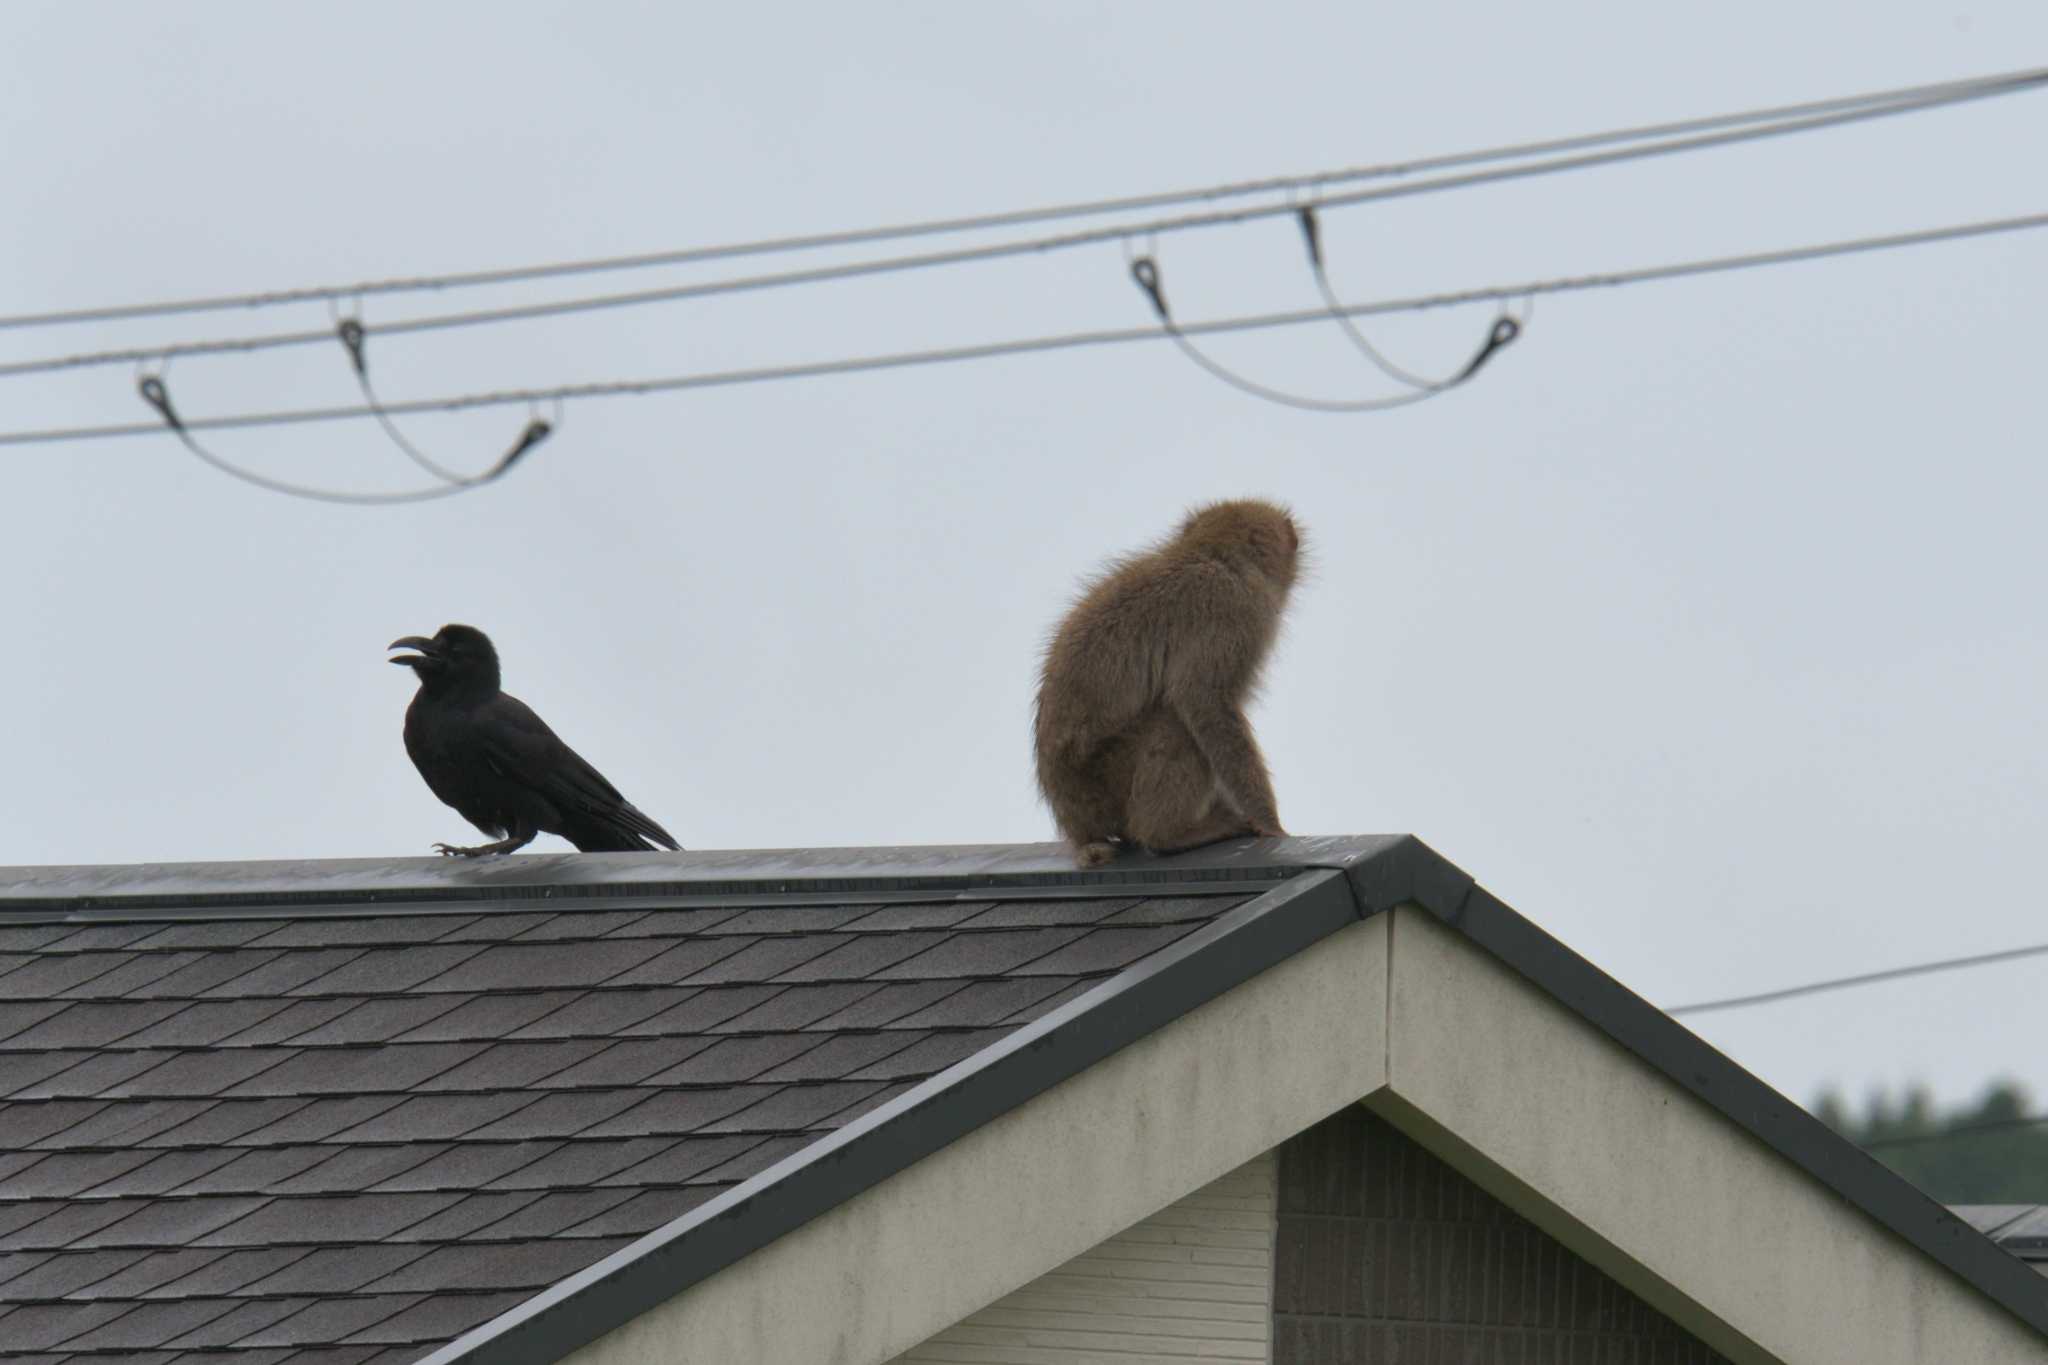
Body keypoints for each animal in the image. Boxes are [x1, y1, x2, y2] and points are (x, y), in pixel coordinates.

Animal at [1032, 499, 1302, 863]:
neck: (1213, 555)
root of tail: (1077, 826)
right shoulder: (1232, 610)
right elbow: (1203, 701)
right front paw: (1268, 821)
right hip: (1105, 781)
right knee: (1174, 722)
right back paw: (1166, 835)